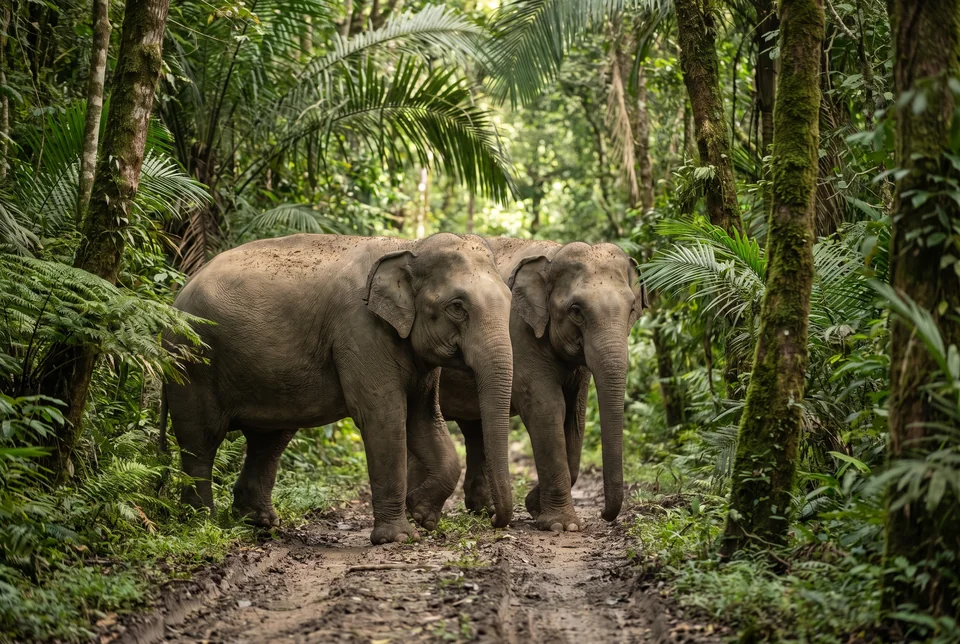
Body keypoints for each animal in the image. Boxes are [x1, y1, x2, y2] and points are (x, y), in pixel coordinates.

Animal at [161, 233, 514, 544]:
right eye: (457, 306)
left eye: (511, 301)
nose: (495, 520)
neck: (409, 246)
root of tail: (176, 295)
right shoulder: (359, 330)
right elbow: (385, 417)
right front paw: (399, 537)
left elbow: (424, 419)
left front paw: (422, 514)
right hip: (192, 361)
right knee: (201, 439)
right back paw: (203, 523)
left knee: (268, 440)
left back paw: (260, 523)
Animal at [416, 239, 646, 532]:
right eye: (576, 311)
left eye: (632, 309)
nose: (604, 514)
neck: (552, 255)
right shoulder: (519, 335)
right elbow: (547, 408)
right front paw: (561, 525)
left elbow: (575, 415)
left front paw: (535, 507)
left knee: (474, 428)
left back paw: (484, 510)